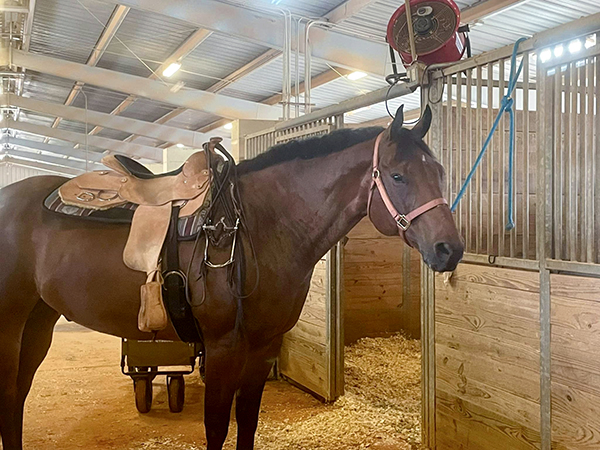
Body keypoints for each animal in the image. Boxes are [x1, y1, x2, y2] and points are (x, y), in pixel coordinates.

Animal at [0, 106, 464, 450]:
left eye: (440, 173)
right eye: (398, 175)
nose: (450, 250)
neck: (259, 224)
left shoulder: (262, 347)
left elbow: (247, 422)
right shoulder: (223, 348)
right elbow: (217, 428)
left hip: (38, 323)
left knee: (17, 396)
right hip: (10, 327)